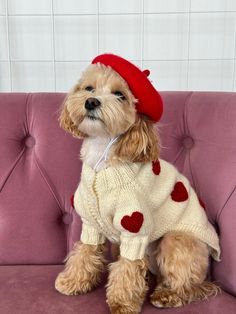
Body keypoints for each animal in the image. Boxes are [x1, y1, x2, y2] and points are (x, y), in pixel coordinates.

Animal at [54, 54, 220, 314]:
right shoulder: (90, 223)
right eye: (89, 88)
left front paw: (122, 302)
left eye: (120, 95)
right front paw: (74, 281)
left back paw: (168, 295)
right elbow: (84, 251)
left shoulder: (135, 228)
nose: (91, 102)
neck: (103, 159)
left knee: (188, 285)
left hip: (177, 241)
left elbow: (128, 267)